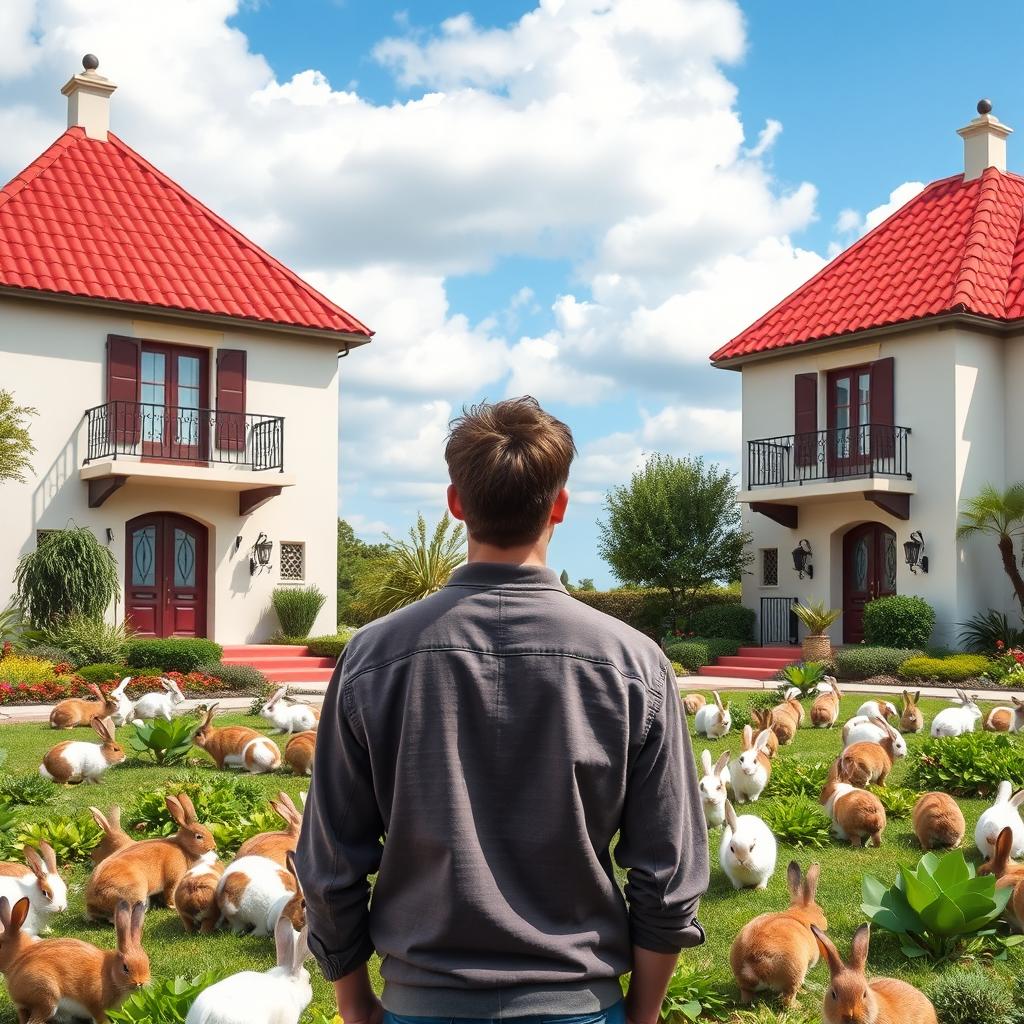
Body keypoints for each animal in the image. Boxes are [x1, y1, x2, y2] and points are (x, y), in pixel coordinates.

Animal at [4, 901, 149, 1019]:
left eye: (148, 963)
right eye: (125, 968)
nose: (140, 983)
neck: (110, 975)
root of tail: (13, 985)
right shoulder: (96, 1006)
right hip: (47, 997)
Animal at [84, 790, 218, 921]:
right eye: (199, 836)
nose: (213, 846)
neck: (183, 847)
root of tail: (93, 903)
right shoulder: (174, 877)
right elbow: (170, 892)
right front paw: (173, 907)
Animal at [724, 860, 827, 1003]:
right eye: (822, 912)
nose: (826, 922)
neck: (801, 917)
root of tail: (750, 968)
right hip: (795, 973)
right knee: (788, 998)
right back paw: (798, 1003)